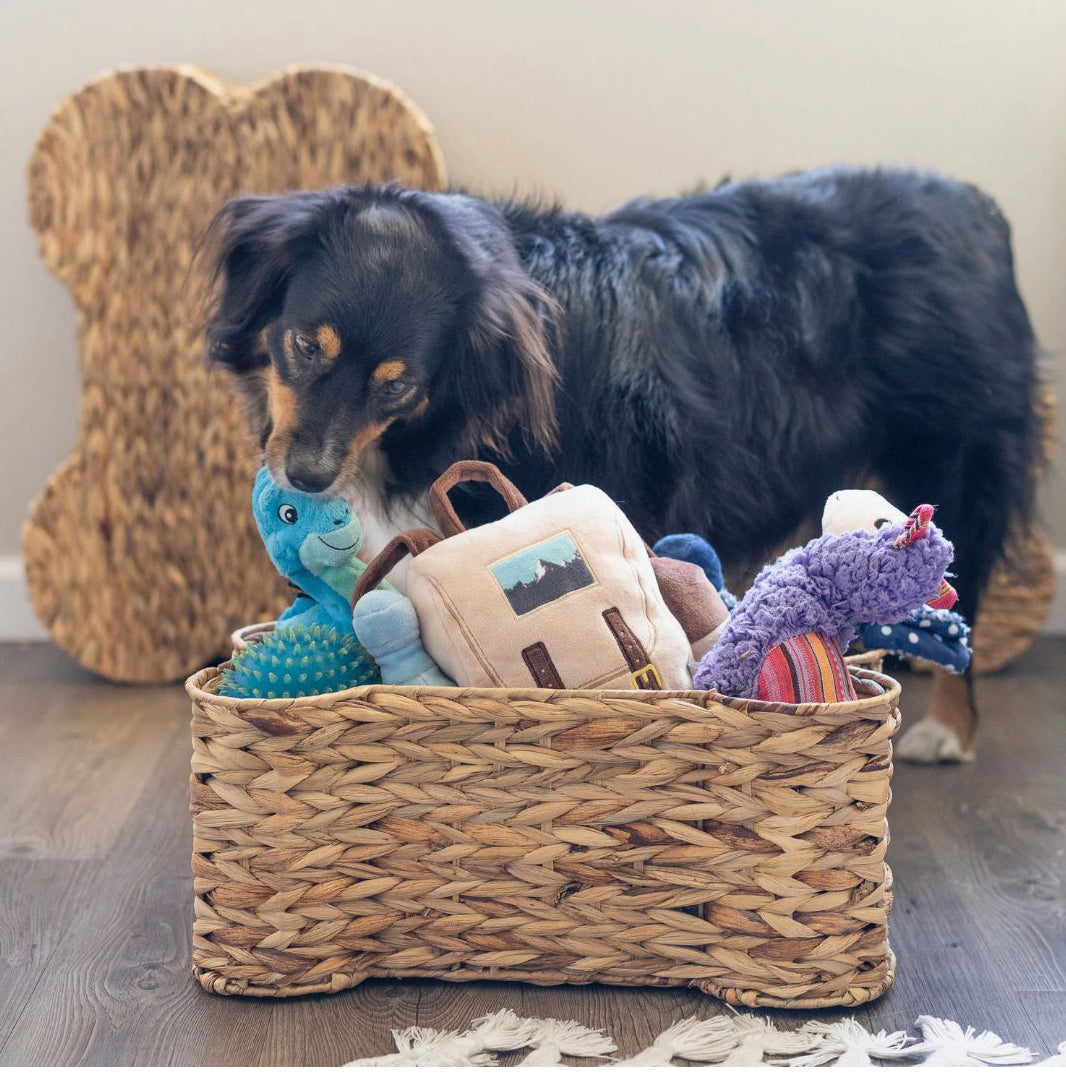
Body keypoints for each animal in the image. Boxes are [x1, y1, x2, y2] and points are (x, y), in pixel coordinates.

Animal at [199, 165, 1040, 756]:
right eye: (304, 344)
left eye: (398, 383)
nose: (307, 476)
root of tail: (981, 208)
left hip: (954, 454)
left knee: (961, 590)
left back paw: (947, 727)